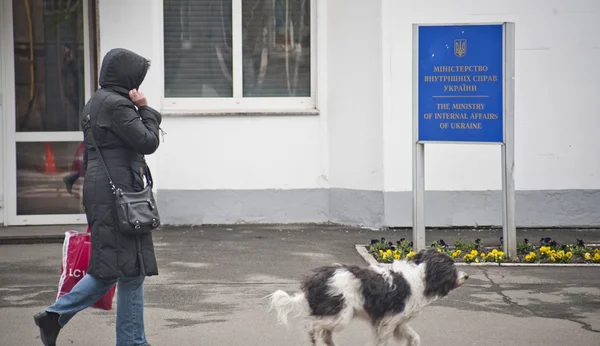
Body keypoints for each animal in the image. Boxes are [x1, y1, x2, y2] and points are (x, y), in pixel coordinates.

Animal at [268, 247, 468, 344]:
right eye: (451, 266)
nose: (466, 276)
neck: (421, 274)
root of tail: (314, 281)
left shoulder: (397, 321)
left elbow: (413, 336)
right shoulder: (388, 321)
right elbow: (383, 342)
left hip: (335, 316)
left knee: (325, 333)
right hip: (339, 315)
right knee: (312, 325)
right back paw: (311, 336)